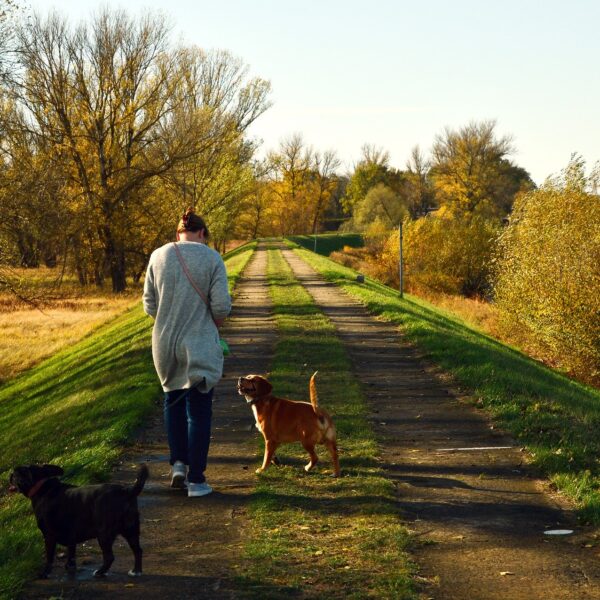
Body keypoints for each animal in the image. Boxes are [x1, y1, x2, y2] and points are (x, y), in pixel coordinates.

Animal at [8, 462, 148, 580]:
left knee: (109, 557)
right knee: (138, 550)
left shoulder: (49, 536)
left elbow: (49, 557)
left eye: (17, 473)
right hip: (131, 530)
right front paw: (70, 567)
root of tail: (127, 491)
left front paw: (45, 573)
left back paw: (100, 572)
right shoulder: (71, 536)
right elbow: (71, 553)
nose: (11, 474)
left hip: (104, 534)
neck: (42, 486)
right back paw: (136, 571)